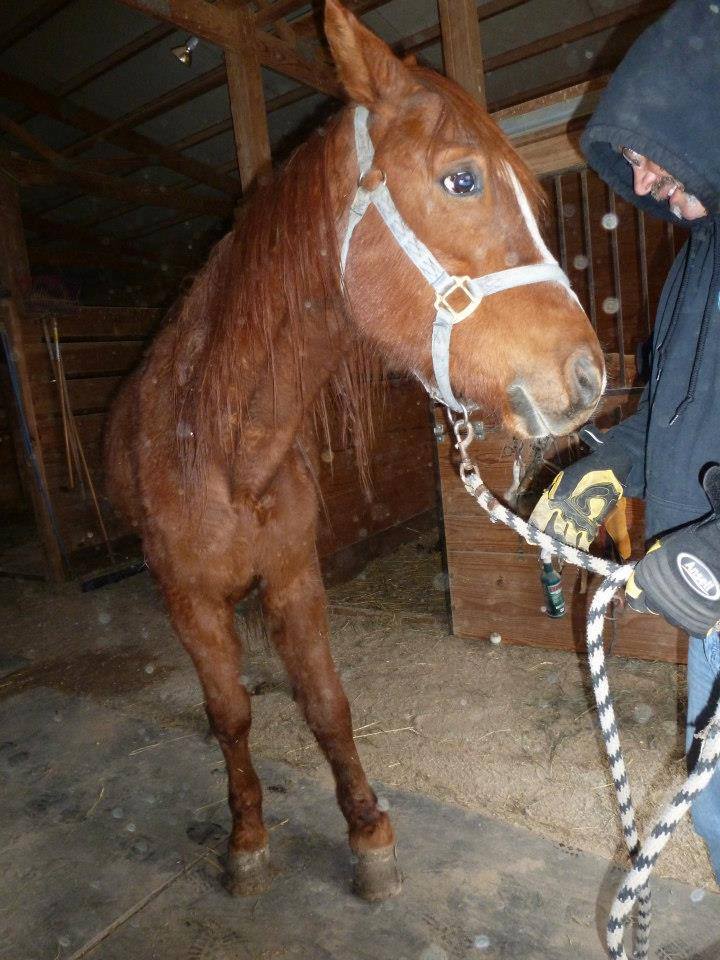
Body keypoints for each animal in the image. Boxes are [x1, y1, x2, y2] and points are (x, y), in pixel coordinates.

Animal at [104, 0, 604, 903]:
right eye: (463, 179)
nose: (590, 376)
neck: (225, 453)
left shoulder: (296, 577)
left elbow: (327, 704)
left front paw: (368, 833)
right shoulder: (190, 599)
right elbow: (232, 714)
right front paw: (247, 837)